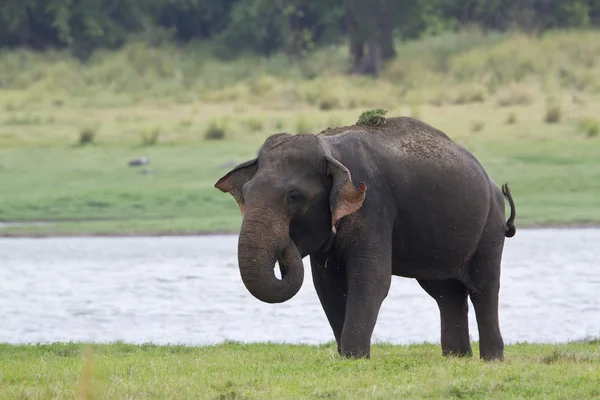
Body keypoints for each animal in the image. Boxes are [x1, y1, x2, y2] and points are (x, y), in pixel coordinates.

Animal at [216, 115, 516, 360]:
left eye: (294, 197)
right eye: (246, 193)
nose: (287, 242)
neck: (330, 150)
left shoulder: (373, 204)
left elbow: (372, 278)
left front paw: (354, 357)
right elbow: (328, 285)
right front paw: (346, 357)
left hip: (490, 225)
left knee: (483, 288)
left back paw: (491, 359)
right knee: (446, 293)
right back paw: (457, 358)